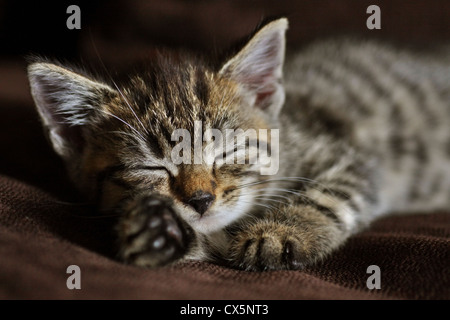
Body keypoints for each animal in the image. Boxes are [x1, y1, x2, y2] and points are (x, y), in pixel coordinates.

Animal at [27, 18, 450, 270]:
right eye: (152, 166)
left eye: (227, 152)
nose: (200, 200)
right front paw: (152, 232)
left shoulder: (347, 156)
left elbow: (328, 195)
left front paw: (278, 232)